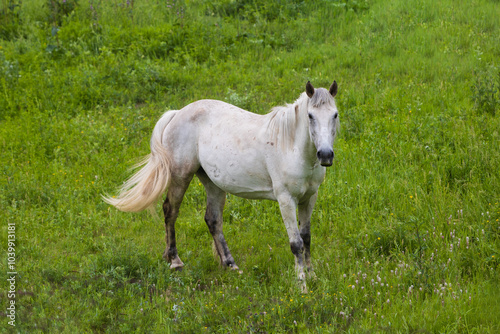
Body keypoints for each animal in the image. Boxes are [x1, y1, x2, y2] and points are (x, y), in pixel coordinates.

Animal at [105, 81, 340, 292]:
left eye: (335, 115)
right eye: (310, 116)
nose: (325, 155)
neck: (290, 146)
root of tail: (177, 113)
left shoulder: (309, 197)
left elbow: (307, 237)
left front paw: (313, 276)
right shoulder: (286, 199)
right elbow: (296, 243)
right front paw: (302, 285)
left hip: (213, 183)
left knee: (213, 220)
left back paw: (230, 265)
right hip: (181, 176)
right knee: (170, 211)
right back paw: (175, 261)